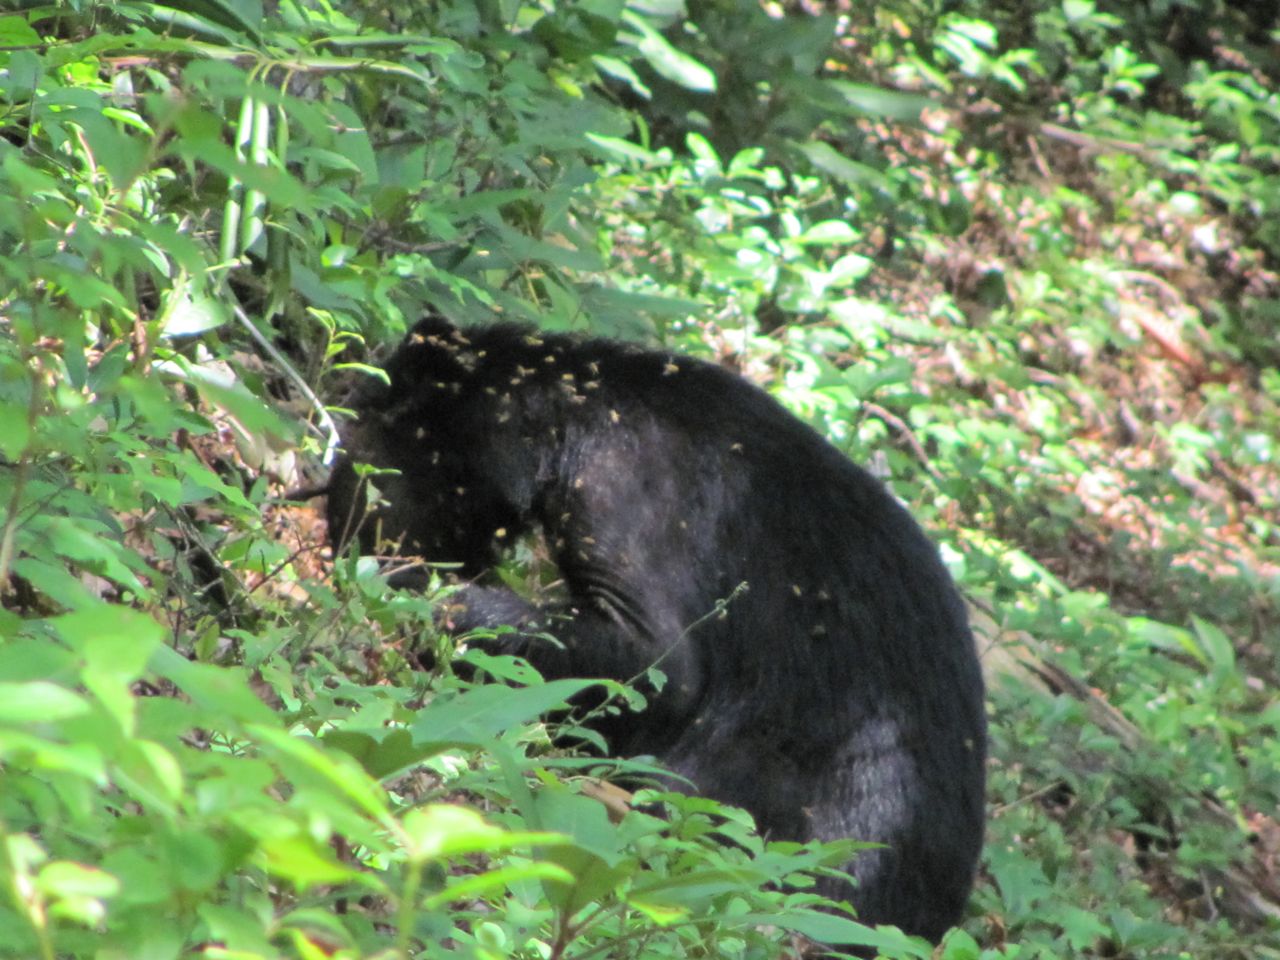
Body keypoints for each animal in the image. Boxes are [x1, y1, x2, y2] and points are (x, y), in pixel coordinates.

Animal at [327, 315, 986, 942]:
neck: (567, 415)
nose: (337, 543)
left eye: (354, 469)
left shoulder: (633, 492)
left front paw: (438, 604)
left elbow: (659, 661)